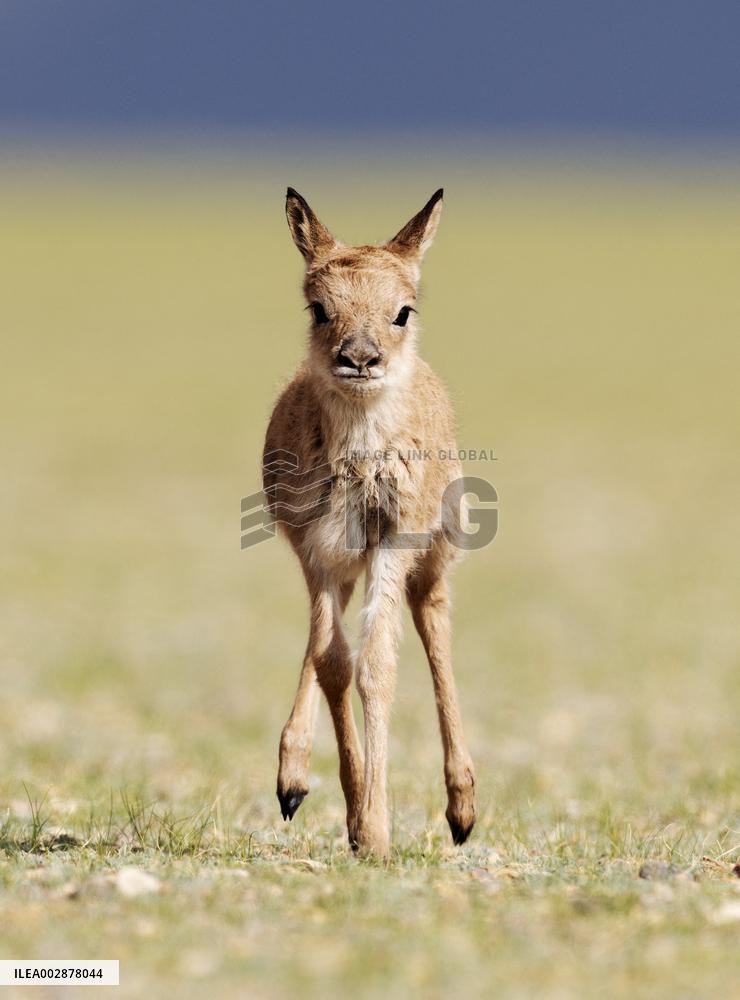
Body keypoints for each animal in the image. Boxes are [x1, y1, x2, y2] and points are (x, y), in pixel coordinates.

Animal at [263, 188, 475, 858]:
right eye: (318, 308)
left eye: (402, 310)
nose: (359, 357)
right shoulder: (317, 552)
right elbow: (334, 662)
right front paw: (355, 816)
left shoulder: (392, 542)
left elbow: (378, 665)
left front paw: (376, 832)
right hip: (341, 565)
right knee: (325, 650)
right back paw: (292, 781)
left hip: (431, 560)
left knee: (433, 621)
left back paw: (463, 809)